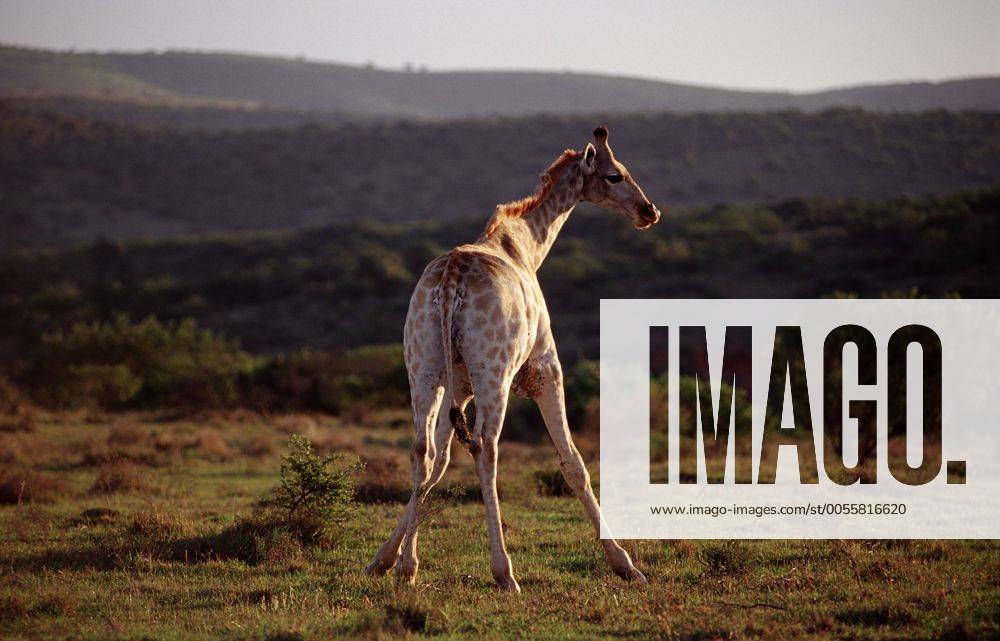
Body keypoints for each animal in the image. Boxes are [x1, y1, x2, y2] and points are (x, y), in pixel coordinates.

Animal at [364, 126, 661, 592]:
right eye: (615, 174)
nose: (649, 211)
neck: (524, 246)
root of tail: (451, 280)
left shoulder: (459, 385)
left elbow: (439, 464)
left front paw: (392, 560)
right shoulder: (545, 368)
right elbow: (574, 462)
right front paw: (625, 563)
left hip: (422, 368)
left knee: (420, 450)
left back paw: (408, 565)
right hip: (495, 373)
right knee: (485, 447)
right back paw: (505, 571)